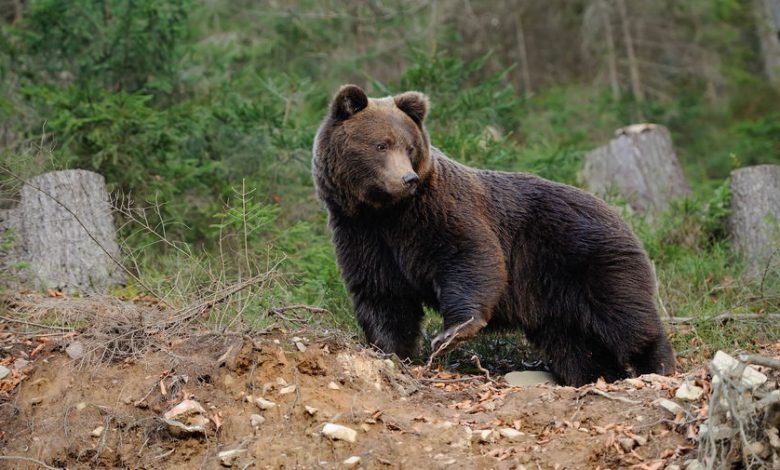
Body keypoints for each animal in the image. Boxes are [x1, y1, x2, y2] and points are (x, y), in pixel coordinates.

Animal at [308, 83, 672, 386]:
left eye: (409, 147)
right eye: (381, 144)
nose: (407, 179)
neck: (386, 212)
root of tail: (620, 214)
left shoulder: (437, 213)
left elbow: (470, 257)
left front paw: (451, 334)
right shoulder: (362, 234)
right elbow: (382, 294)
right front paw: (391, 350)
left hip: (589, 258)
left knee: (625, 317)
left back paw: (654, 365)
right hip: (554, 295)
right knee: (574, 344)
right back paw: (595, 375)